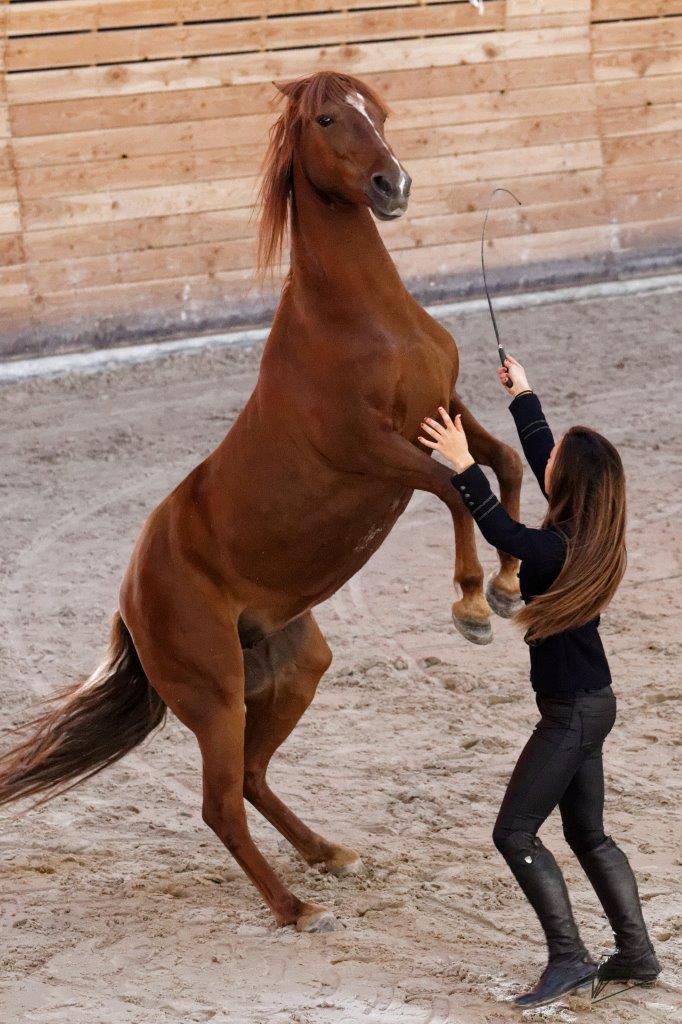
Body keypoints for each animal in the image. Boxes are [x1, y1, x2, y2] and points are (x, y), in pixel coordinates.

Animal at [0, 72, 520, 937]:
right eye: (327, 118)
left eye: (379, 111)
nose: (394, 185)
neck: (361, 317)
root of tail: (132, 595)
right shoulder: (376, 452)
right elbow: (456, 490)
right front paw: (473, 607)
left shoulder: (445, 409)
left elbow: (502, 466)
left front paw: (510, 587)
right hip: (213, 698)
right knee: (220, 804)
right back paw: (297, 907)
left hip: (292, 671)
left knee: (248, 779)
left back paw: (327, 855)